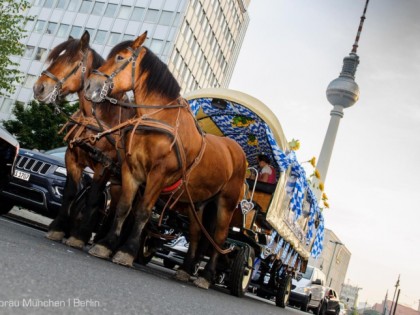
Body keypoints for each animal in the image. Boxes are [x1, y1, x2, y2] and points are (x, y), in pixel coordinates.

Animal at [34, 32, 136, 249]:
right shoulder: (72, 158)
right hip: (119, 183)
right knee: (116, 207)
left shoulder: (104, 166)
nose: (39, 88)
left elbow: (94, 198)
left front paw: (79, 235)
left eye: (71, 60)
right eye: (55, 58)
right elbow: (71, 192)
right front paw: (59, 227)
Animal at [85, 31, 248, 288]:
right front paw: (106, 244)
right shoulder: (131, 171)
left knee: (219, 239)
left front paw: (126, 251)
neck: (158, 119)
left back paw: (206, 276)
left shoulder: (158, 175)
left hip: (227, 203)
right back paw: (187, 269)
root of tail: (238, 153)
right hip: (197, 203)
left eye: (120, 57)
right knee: (197, 235)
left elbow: (142, 212)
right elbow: (123, 208)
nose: (90, 85)